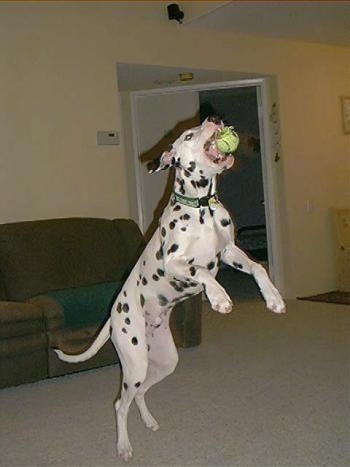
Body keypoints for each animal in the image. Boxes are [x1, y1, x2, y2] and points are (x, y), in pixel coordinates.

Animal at [54, 116, 284, 460]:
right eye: (188, 135)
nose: (214, 118)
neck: (202, 207)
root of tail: (114, 314)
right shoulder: (174, 261)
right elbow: (202, 272)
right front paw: (219, 297)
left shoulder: (229, 252)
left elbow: (257, 267)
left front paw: (273, 298)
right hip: (135, 364)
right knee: (120, 404)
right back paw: (124, 446)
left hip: (162, 363)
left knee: (138, 395)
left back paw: (148, 422)